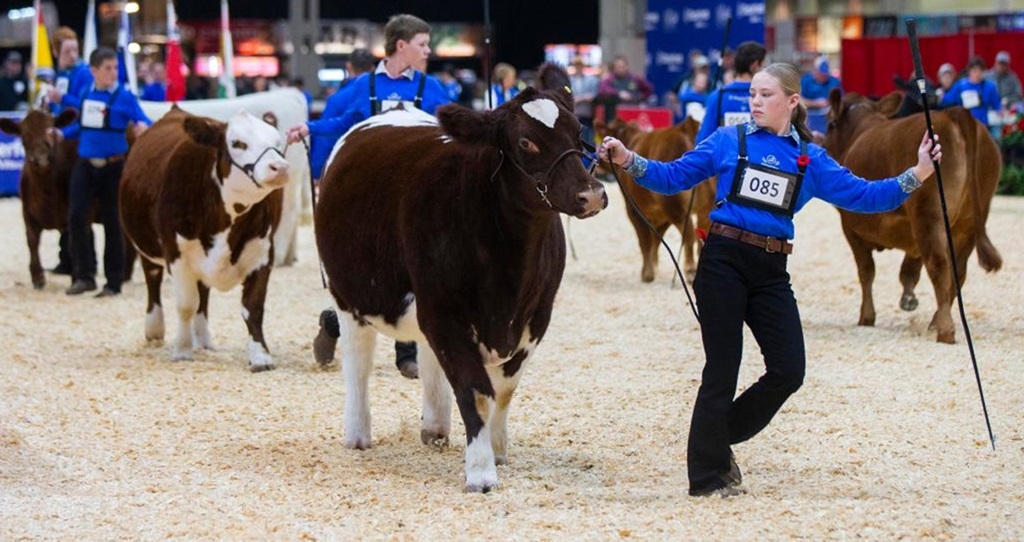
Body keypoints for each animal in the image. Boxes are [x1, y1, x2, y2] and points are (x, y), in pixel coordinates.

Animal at [119, 108, 290, 371]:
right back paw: (155, 329)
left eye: (278, 142)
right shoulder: (176, 255)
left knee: (203, 292)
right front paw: (182, 350)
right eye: (238, 143)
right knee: (153, 280)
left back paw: (203, 338)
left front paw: (260, 356)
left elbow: (253, 308)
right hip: (147, 247)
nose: (279, 167)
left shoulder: (262, 254)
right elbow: (186, 305)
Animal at [312, 64, 607, 492]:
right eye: (526, 142)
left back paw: (435, 428)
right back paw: (358, 434)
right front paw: (481, 472)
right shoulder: (444, 312)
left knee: (428, 360)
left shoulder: (537, 315)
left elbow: (504, 389)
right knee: (358, 362)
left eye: (577, 128)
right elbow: (476, 391)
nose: (592, 194)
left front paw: (497, 450)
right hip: (348, 295)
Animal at [594, 116, 715, 282]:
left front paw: (647, 273)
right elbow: (657, 239)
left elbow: (645, 240)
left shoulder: (633, 209)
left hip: (675, 207)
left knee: (689, 234)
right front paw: (654, 267)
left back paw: (690, 271)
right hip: (706, 208)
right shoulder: (662, 216)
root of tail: (686, 127)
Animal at [824, 89, 1002, 343]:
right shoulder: (912, 236)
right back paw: (936, 321)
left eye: (830, 123)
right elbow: (909, 270)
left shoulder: (850, 227)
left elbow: (866, 271)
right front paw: (908, 299)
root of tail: (953, 114)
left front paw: (866, 317)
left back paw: (945, 330)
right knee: (958, 271)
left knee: (939, 265)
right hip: (967, 223)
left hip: (929, 213)